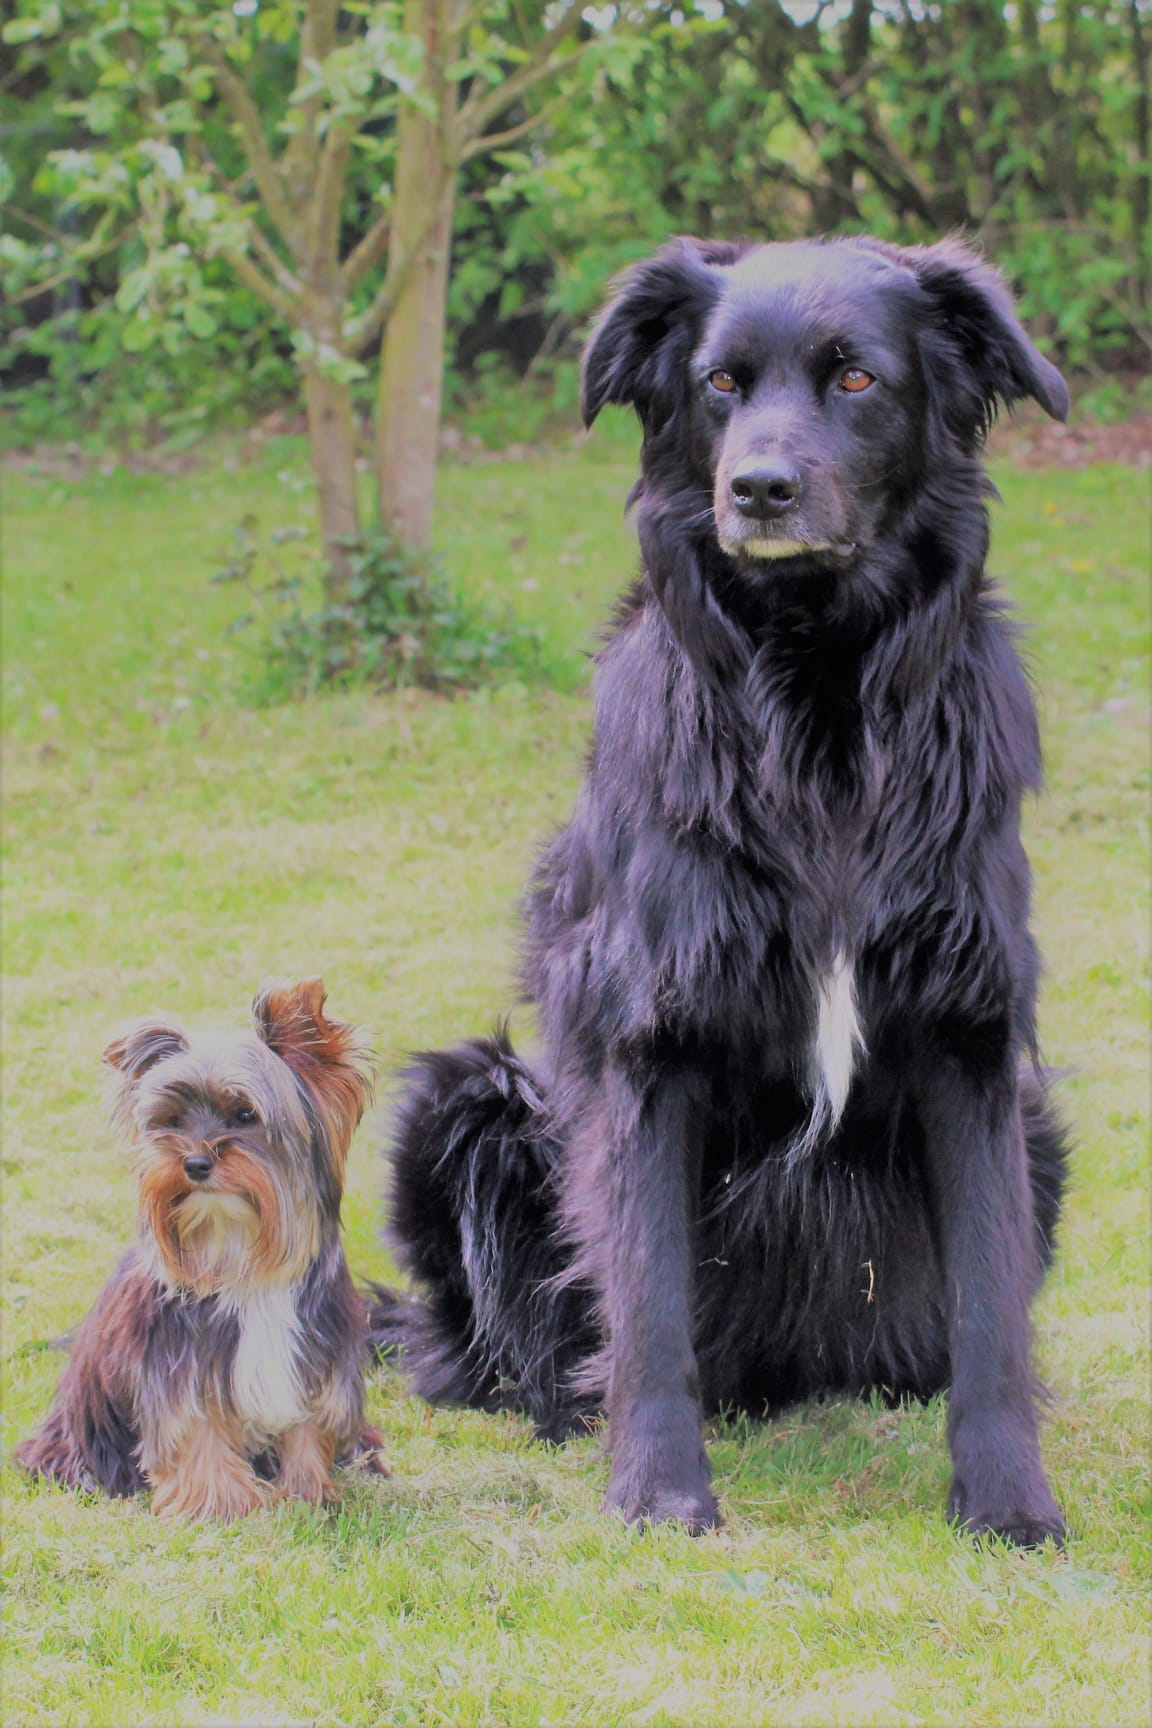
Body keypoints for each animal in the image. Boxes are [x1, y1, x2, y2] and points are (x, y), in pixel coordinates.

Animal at [376, 236, 1070, 1548]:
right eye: (719, 385)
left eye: (857, 377)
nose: (757, 490)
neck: (819, 691)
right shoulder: (651, 1047)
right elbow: (647, 1302)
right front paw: (656, 1491)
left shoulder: (971, 1037)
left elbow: (993, 1311)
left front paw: (1010, 1501)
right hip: (466, 1101)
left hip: (1043, 1122)